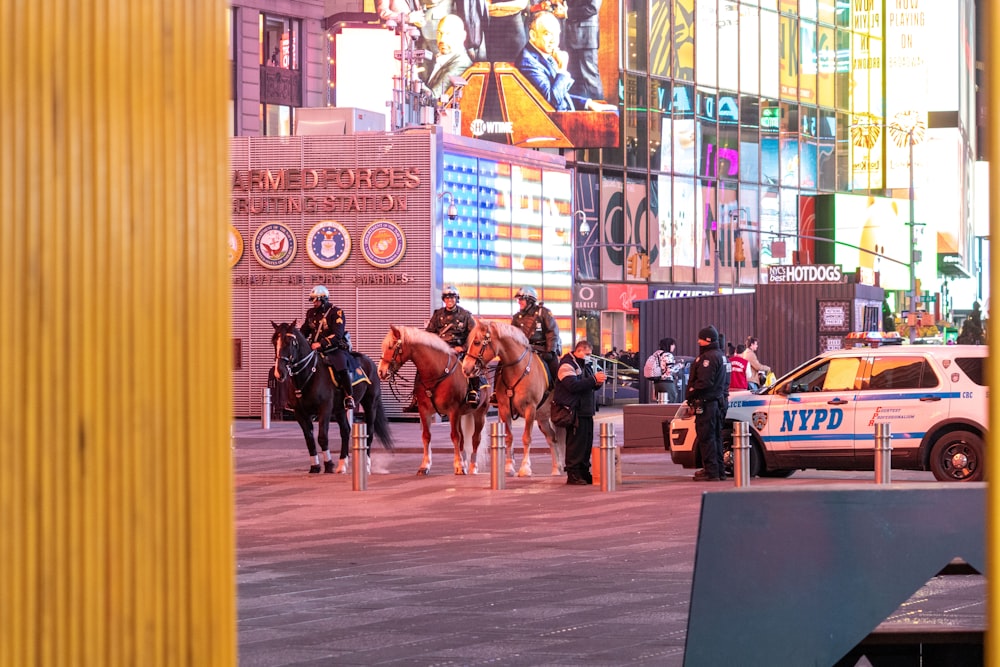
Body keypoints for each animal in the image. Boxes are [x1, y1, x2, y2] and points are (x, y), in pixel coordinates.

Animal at [270, 320, 394, 472]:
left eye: (290, 342)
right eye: (274, 342)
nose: (279, 373)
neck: (309, 375)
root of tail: (371, 362)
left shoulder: (325, 409)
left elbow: (322, 436)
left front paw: (328, 464)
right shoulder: (300, 413)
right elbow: (309, 439)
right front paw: (315, 466)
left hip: (370, 404)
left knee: (369, 433)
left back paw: (366, 465)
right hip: (340, 409)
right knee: (345, 431)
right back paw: (342, 464)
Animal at [376, 324, 490, 474]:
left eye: (391, 346)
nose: (381, 372)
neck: (435, 373)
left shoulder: (453, 411)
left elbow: (455, 436)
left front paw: (459, 466)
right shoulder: (424, 410)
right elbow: (427, 436)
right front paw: (425, 465)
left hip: (479, 412)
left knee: (475, 438)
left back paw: (472, 466)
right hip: (461, 415)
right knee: (463, 439)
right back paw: (464, 462)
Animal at [460, 320, 564, 478]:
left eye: (477, 342)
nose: (466, 368)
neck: (518, 370)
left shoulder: (530, 409)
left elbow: (526, 437)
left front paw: (525, 468)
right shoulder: (505, 409)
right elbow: (509, 437)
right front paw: (509, 467)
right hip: (542, 418)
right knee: (552, 438)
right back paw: (556, 468)